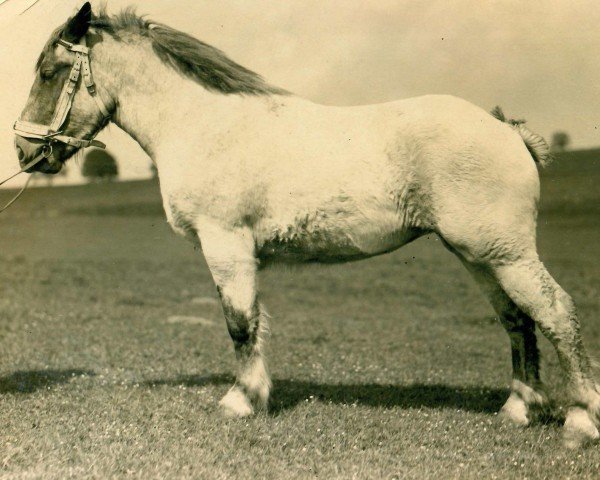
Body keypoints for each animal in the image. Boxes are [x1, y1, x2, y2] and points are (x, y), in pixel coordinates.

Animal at [14, 1, 600, 448]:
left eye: (48, 72)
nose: (23, 150)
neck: (202, 124)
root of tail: (507, 130)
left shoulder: (226, 244)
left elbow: (240, 323)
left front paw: (241, 400)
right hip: (480, 256)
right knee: (517, 320)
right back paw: (518, 410)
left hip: (504, 254)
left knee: (556, 312)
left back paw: (580, 420)